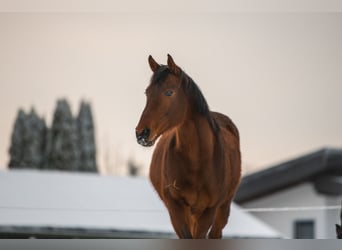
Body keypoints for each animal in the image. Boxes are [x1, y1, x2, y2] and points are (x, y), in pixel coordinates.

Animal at [135, 54, 242, 238]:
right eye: (147, 93)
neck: (197, 162)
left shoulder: (209, 210)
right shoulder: (176, 208)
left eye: (169, 92)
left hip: (222, 208)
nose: (141, 133)